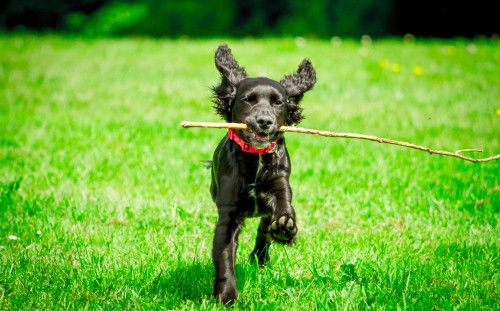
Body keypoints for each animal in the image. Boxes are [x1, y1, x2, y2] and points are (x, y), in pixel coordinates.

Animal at [209, 44, 314, 304]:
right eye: (248, 100)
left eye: (279, 103)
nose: (264, 121)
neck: (255, 157)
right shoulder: (228, 212)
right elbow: (224, 257)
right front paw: (226, 296)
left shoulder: (279, 182)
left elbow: (283, 206)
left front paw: (285, 226)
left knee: (264, 230)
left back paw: (262, 255)